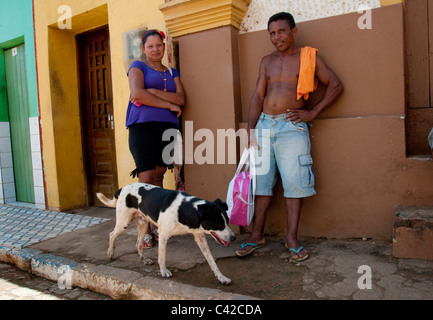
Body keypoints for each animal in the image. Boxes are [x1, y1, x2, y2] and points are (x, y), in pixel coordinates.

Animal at [97, 182, 235, 284]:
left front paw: (221, 277)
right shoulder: (162, 235)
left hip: (143, 224)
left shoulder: (199, 237)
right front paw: (164, 271)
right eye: (219, 225)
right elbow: (162, 256)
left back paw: (144, 259)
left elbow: (211, 260)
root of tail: (123, 188)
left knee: (138, 243)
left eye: (227, 221)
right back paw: (110, 253)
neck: (185, 210)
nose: (233, 238)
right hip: (123, 222)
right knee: (111, 234)